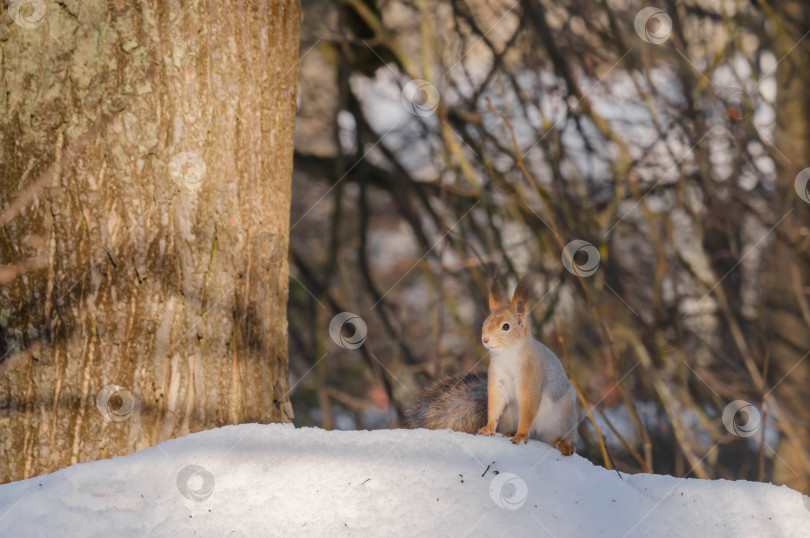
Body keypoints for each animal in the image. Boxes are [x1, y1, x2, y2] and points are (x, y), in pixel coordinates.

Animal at [408, 272, 576, 452]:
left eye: (506, 327)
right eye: (485, 323)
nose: (485, 339)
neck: (507, 354)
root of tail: (539, 432)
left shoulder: (531, 379)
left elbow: (528, 409)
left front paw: (521, 434)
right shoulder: (497, 379)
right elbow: (494, 405)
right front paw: (488, 428)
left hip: (563, 417)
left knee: (559, 435)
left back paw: (563, 444)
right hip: (509, 414)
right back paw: (509, 432)